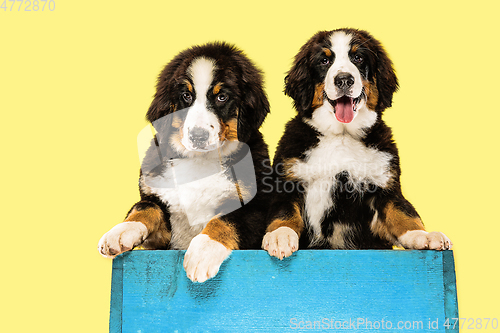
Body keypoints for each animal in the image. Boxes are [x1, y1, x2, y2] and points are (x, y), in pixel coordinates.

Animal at [97, 40, 270, 280]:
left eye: (222, 97)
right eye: (186, 96)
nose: (198, 136)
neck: (199, 161)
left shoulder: (254, 209)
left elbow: (225, 220)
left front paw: (203, 252)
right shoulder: (165, 232)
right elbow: (145, 207)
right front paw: (121, 232)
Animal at [264, 27, 452, 260]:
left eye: (358, 58)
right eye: (324, 61)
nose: (344, 79)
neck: (341, 136)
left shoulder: (384, 188)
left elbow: (403, 213)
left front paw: (423, 236)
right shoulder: (288, 182)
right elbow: (284, 213)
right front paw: (280, 236)